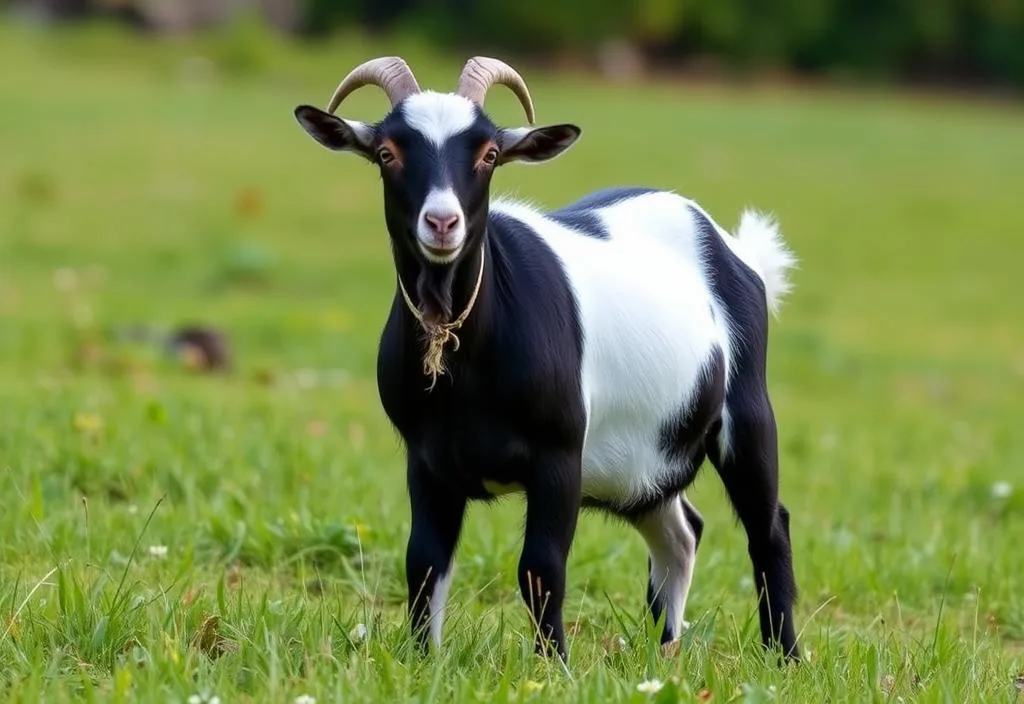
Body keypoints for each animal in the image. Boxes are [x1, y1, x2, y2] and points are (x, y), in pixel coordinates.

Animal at [292, 56, 802, 667]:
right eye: (387, 153)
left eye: (489, 153)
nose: (442, 223)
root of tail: (737, 251)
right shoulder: (427, 460)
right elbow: (424, 563)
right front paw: (423, 662)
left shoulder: (559, 455)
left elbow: (541, 568)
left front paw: (553, 664)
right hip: (644, 459)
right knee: (681, 532)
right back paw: (665, 652)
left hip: (745, 411)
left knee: (768, 526)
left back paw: (785, 656)